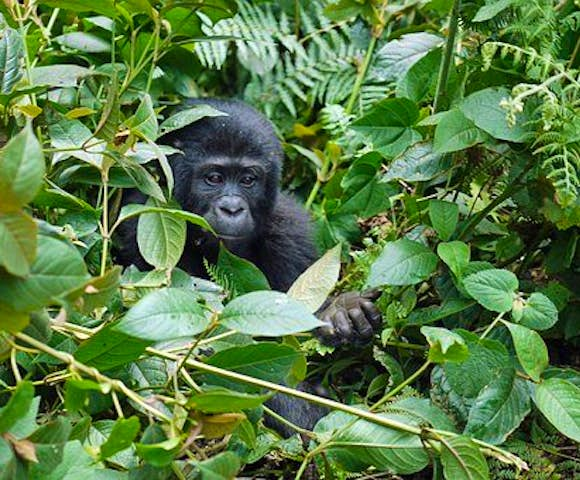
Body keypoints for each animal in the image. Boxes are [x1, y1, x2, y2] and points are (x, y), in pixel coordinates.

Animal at [115, 97, 382, 432]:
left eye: (248, 180)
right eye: (214, 178)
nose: (232, 208)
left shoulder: (289, 228)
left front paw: (339, 311)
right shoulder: (143, 220)